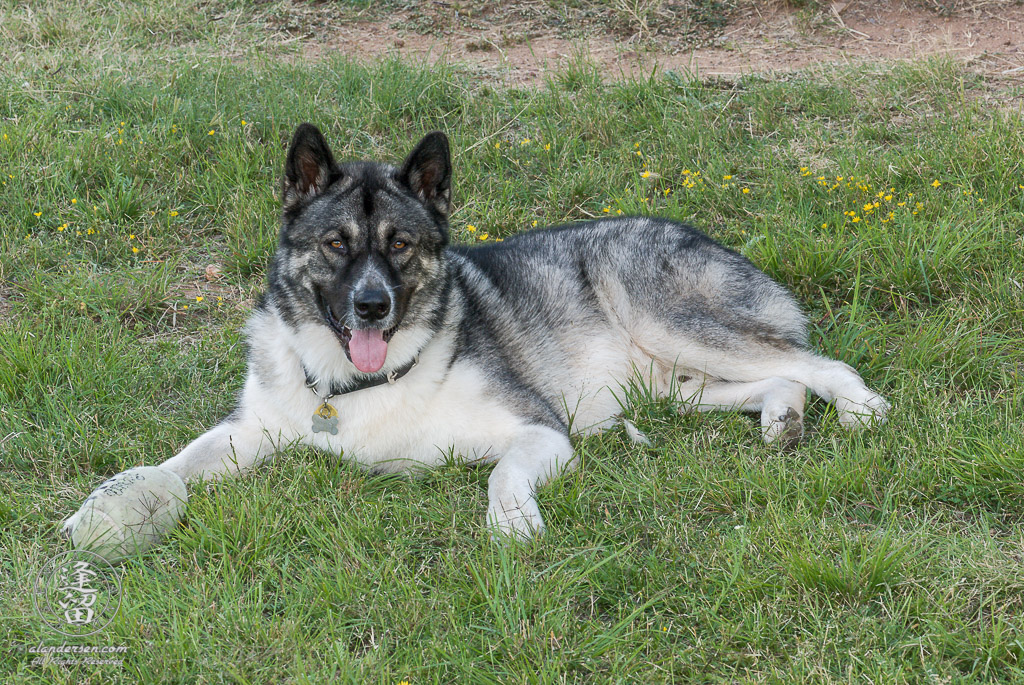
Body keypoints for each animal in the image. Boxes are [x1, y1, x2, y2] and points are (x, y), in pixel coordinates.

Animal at [64, 125, 888, 544]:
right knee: (780, 377)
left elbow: (501, 474)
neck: (357, 384)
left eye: (400, 244)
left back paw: (861, 412)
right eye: (336, 244)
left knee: (820, 361)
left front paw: (514, 523)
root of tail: (704, 235)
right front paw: (104, 506)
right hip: (672, 388)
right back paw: (783, 421)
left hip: (676, 322)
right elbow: (171, 463)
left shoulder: (541, 430)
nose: (372, 307)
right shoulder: (251, 429)